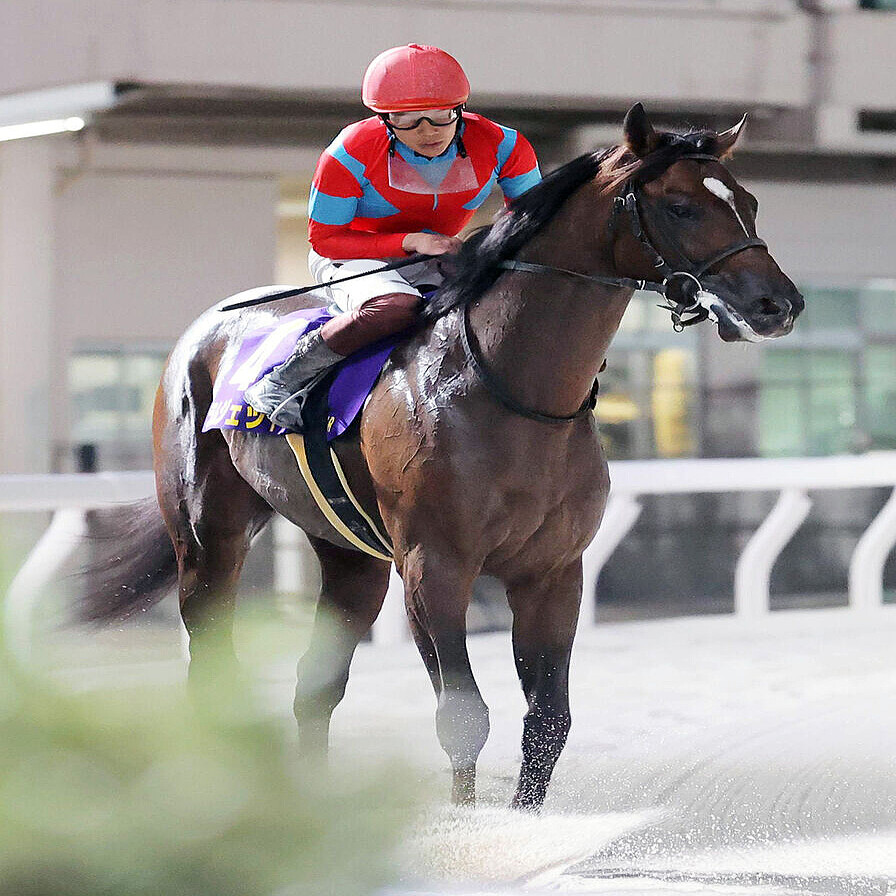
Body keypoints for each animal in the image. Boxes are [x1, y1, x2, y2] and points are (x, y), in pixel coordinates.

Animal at [84, 104, 803, 809]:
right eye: (680, 206)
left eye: (748, 201)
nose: (779, 304)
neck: (510, 388)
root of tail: (204, 329)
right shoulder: (435, 567)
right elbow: (463, 715)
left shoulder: (552, 571)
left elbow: (548, 719)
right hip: (210, 537)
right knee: (210, 660)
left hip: (350, 557)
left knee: (316, 682)